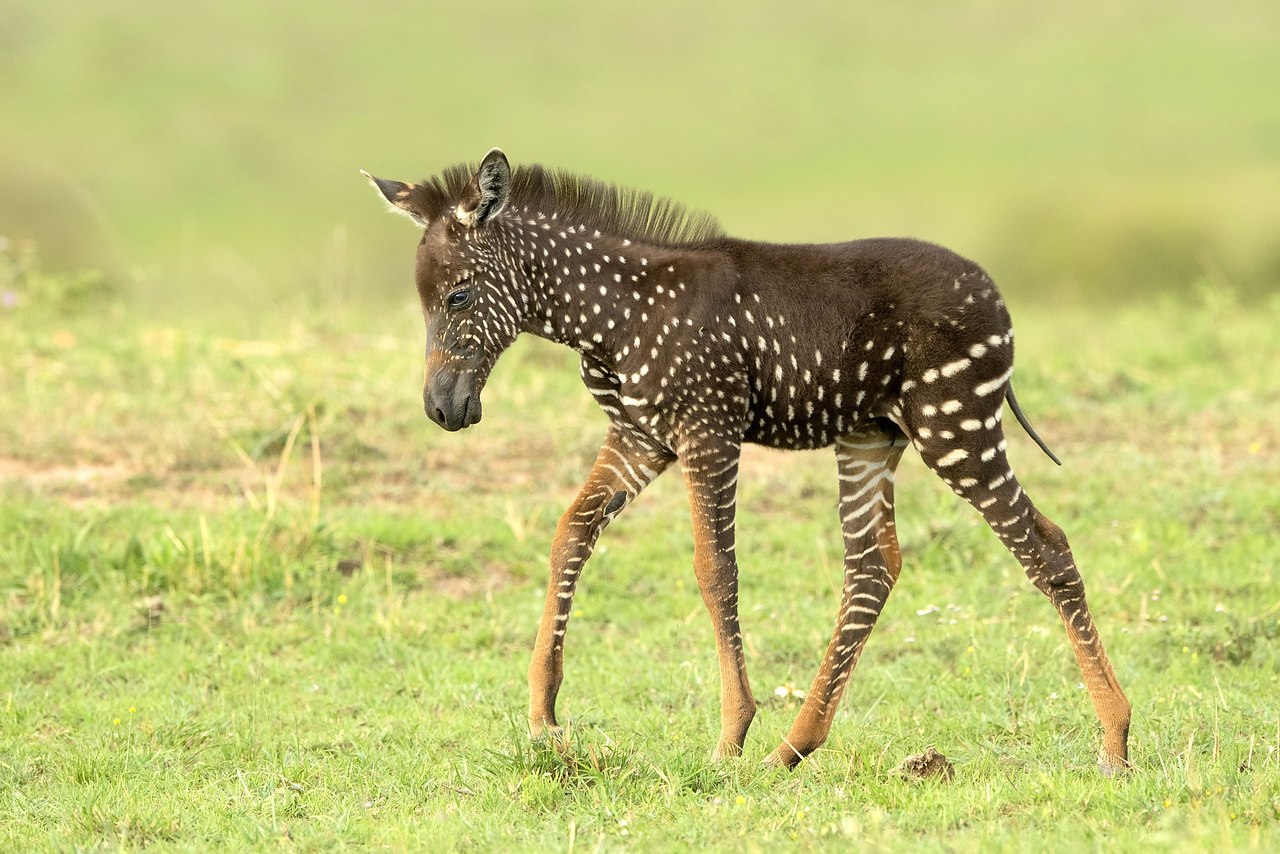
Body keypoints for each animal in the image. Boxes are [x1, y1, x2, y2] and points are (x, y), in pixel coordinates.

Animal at [360, 148, 1131, 773]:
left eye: (459, 294)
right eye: (422, 301)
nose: (442, 408)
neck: (612, 316)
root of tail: (996, 298)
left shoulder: (708, 430)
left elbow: (715, 570)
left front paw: (731, 733)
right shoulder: (640, 437)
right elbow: (570, 532)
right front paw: (544, 714)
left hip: (957, 425)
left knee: (1044, 546)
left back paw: (1116, 739)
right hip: (872, 437)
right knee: (873, 566)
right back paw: (794, 748)